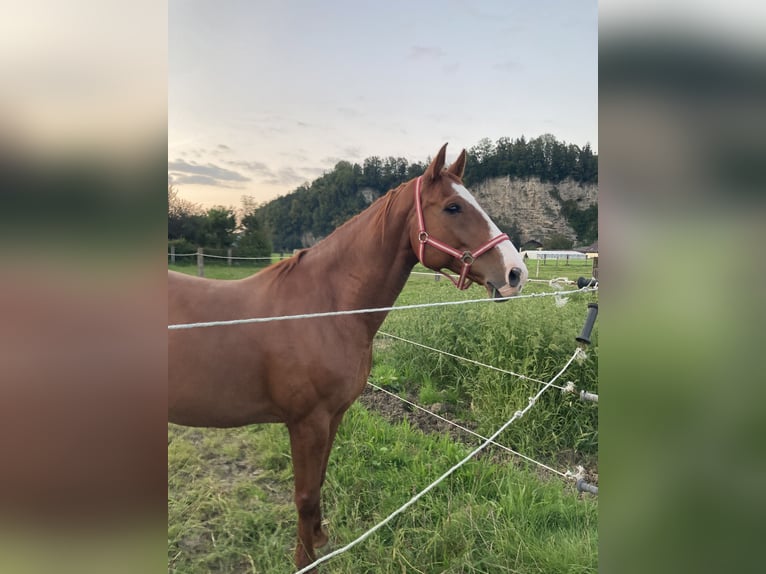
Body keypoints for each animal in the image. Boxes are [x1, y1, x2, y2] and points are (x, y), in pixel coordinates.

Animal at [168, 144, 528, 572]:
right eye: (453, 207)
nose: (515, 273)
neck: (326, 310)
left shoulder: (333, 415)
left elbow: (320, 482)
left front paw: (320, 540)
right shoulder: (307, 422)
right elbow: (305, 495)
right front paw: (304, 559)